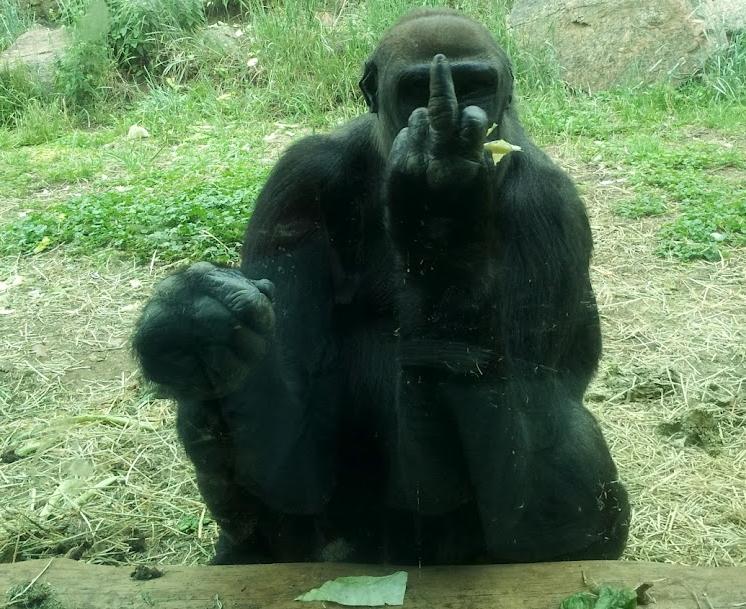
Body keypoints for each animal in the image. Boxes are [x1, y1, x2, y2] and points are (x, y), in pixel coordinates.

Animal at [134, 7, 628, 564]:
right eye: (415, 89)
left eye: (477, 85)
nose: (448, 128)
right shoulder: (301, 176)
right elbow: (290, 405)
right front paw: (188, 318)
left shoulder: (548, 205)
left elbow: (522, 403)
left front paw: (442, 221)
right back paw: (251, 541)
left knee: (557, 436)